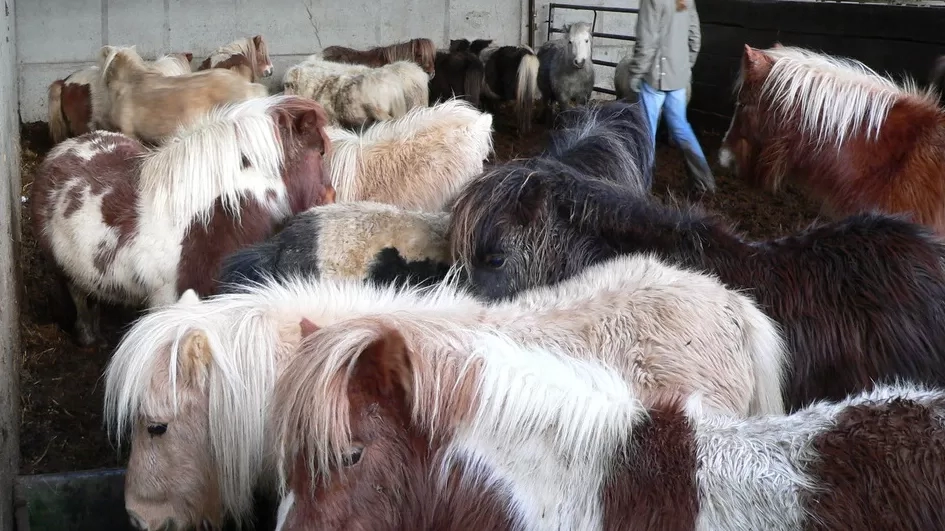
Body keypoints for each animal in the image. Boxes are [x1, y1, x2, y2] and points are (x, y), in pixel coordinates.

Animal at [30, 95, 334, 347]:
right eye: (320, 152)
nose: (330, 196)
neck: (205, 222)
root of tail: (65, 148)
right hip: (65, 272)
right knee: (80, 298)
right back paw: (89, 337)